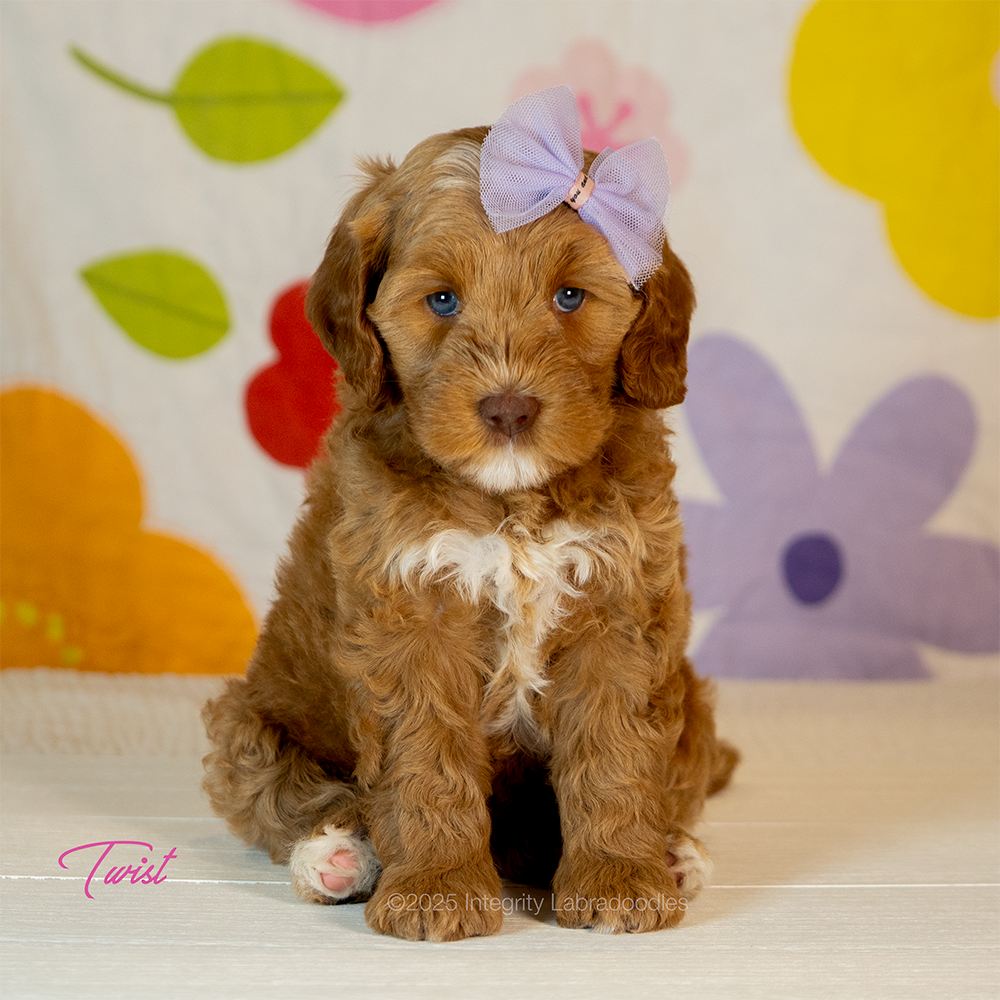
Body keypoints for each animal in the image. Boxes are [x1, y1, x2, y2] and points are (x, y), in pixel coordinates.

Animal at [202, 89, 738, 942]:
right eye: (443, 300)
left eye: (570, 296)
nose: (509, 407)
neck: (510, 503)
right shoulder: (409, 614)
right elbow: (425, 760)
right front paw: (436, 889)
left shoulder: (619, 606)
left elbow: (616, 752)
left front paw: (621, 877)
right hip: (244, 724)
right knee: (288, 795)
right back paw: (337, 857)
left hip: (690, 700)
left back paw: (674, 852)